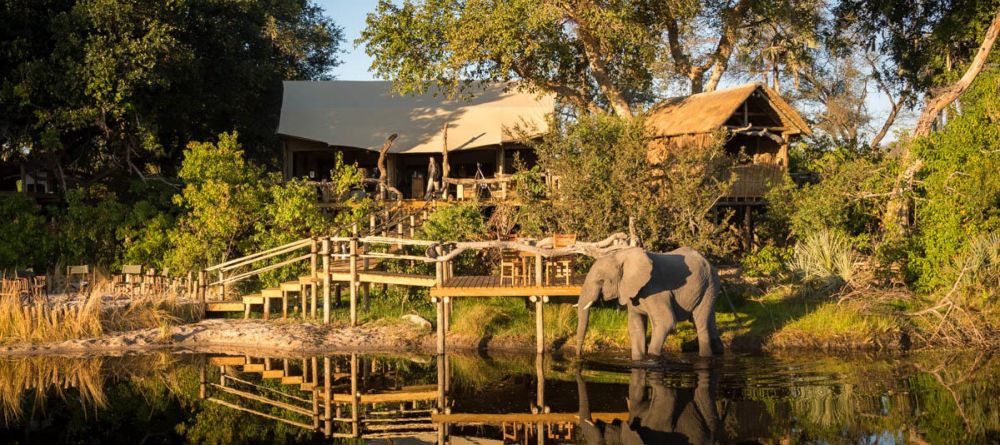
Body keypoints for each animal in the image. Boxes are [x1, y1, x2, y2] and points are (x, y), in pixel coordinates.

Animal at [576, 245, 724, 360]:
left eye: (601, 281)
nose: (579, 356)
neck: (622, 255)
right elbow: (636, 326)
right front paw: (638, 360)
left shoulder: (654, 290)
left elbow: (666, 322)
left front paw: (652, 358)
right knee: (708, 321)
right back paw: (718, 352)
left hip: (709, 286)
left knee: (701, 322)